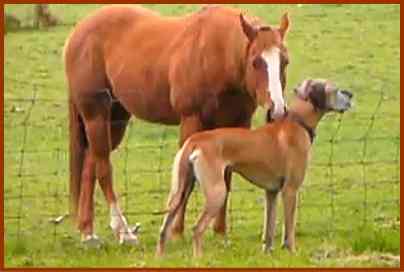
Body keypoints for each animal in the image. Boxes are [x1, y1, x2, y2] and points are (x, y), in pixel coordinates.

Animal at [64, 5, 290, 245]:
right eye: (256, 61)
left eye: (285, 61)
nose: (277, 110)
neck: (217, 52)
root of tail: (79, 31)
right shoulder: (191, 121)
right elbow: (186, 183)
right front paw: (176, 231)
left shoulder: (237, 125)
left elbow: (227, 177)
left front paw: (220, 233)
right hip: (96, 115)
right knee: (104, 169)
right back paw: (123, 231)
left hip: (115, 119)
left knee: (91, 164)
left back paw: (88, 232)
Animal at [156, 78, 352, 258]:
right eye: (335, 89)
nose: (351, 94)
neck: (298, 122)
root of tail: (195, 140)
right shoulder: (290, 191)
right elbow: (289, 228)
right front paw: (291, 251)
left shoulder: (271, 192)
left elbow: (269, 227)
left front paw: (268, 252)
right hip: (217, 192)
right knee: (197, 228)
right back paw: (198, 259)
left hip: (180, 192)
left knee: (164, 228)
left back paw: (160, 257)